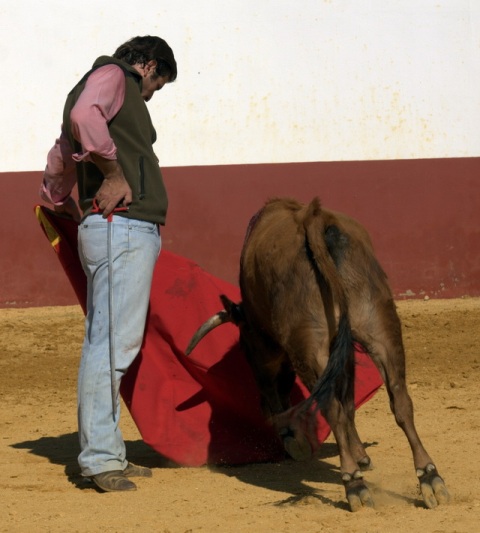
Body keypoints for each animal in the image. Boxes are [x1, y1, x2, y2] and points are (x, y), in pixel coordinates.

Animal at [185, 196, 450, 512]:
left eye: (246, 348)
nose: (264, 409)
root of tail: (315, 220)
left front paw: (294, 439)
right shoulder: (344, 350)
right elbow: (350, 402)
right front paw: (362, 455)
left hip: (311, 349)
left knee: (332, 409)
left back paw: (354, 484)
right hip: (381, 327)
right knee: (400, 399)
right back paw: (430, 477)